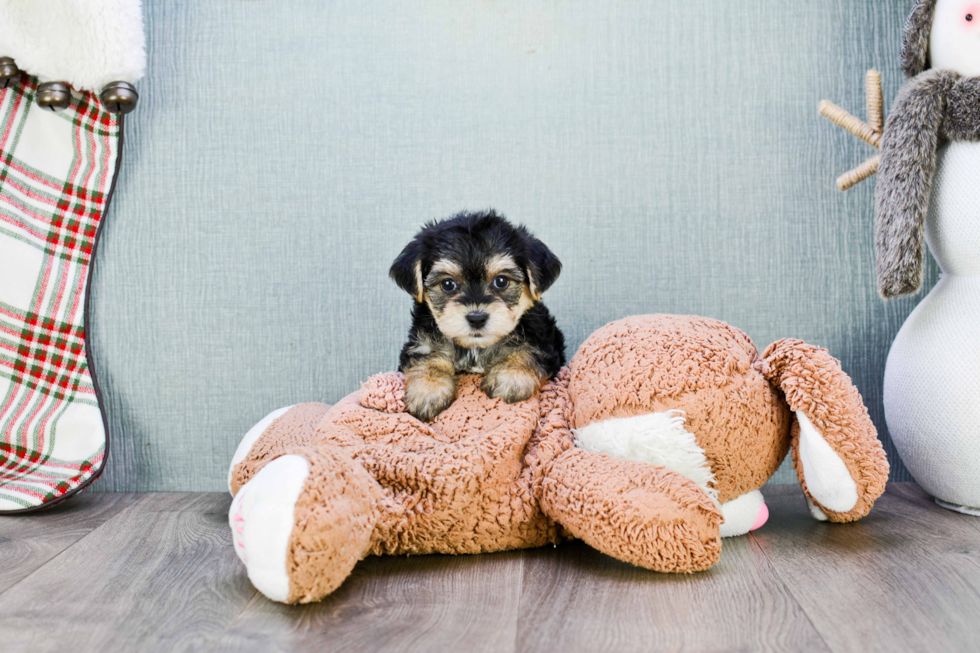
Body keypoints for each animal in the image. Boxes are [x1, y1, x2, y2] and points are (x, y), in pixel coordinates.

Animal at [390, 211, 568, 420]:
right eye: (448, 284)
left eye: (501, 281)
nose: (477, 318)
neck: (475, 348)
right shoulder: (421, 342)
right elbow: (427, 357)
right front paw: (428, 388)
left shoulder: (543, 339)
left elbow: (529, 350)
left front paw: (511, 375)